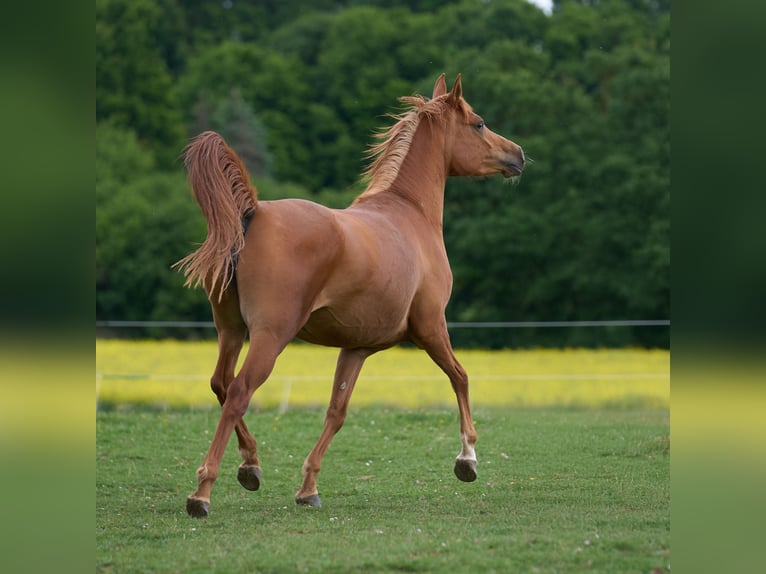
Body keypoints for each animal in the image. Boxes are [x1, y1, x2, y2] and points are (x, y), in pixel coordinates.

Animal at [175, 74, 525, 517]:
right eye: (478, 123)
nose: (518, 155)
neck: (409, 213)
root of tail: (254, 212)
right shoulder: (431, 327)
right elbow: (460, 377)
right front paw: (467, 460)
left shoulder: (357, 348)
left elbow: (336, 412)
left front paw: (308, 488)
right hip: (271, 336)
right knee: (238, 392)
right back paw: (202, 492)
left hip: (231, 330)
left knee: (220, 384)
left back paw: (251, 466)